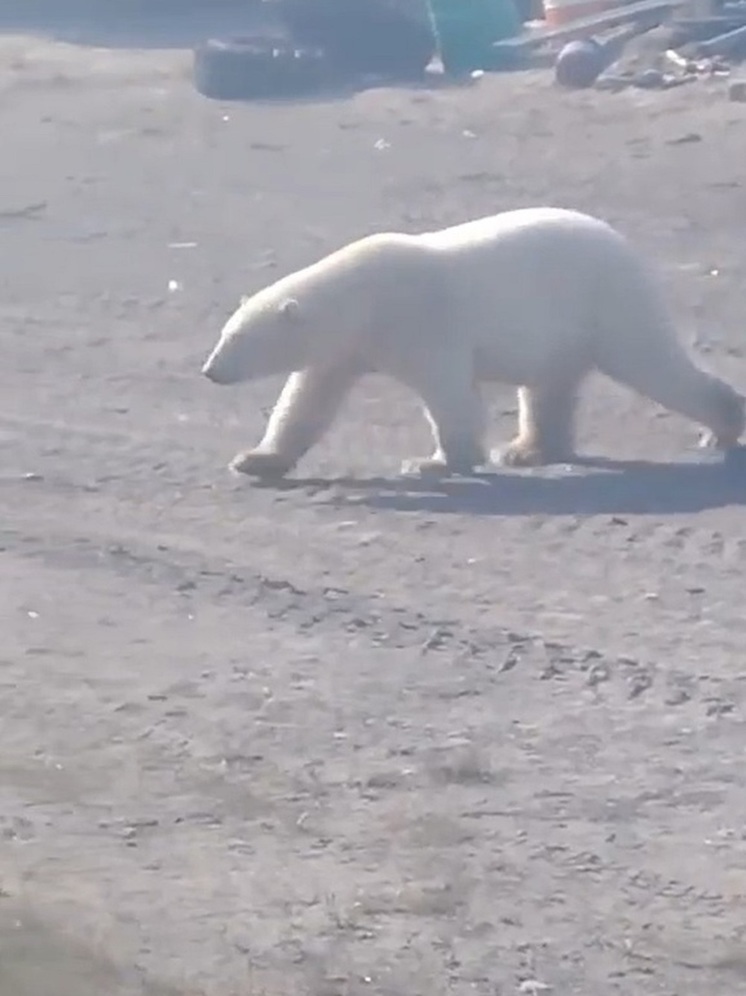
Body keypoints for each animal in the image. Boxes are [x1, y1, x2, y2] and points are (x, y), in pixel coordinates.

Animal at [201, 206, 740, 478]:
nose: (210, 371)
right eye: (224, 332)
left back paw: (722, 426)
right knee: (548, 388)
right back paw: (525, 450)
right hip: (562, 331)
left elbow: (449, 394)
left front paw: (433, 462)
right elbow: (306, 401)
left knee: (655, 365)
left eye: (239, 338)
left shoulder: (420, 323)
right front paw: (256, 459)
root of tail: (625, 245)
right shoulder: (344, 351)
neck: (362, 297)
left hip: (608, 303)